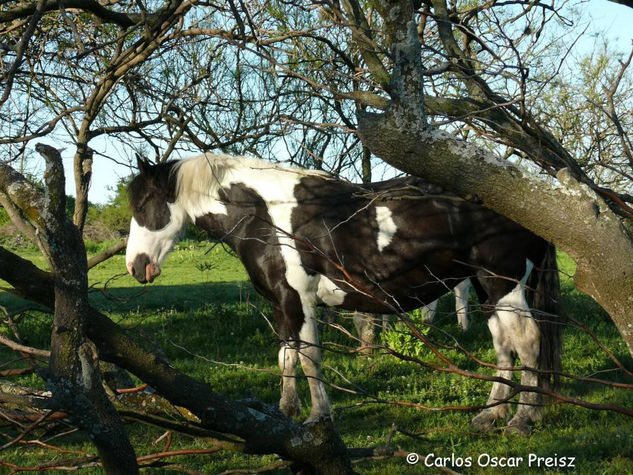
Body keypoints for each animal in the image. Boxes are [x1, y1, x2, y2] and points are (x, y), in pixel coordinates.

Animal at [126, 153, 560, 436]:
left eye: (145, 205)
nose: (136, 265)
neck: (266, 215)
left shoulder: (299, 300)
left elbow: (310, 359)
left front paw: (319, 417)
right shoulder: (283, 303)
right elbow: (286, 356)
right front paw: (285, 411)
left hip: (503, 284)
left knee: (527, 341)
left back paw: (523, 419)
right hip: (488, 288)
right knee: (504, 345)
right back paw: (490, 415)